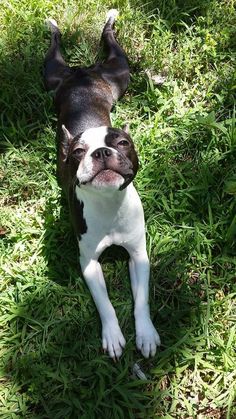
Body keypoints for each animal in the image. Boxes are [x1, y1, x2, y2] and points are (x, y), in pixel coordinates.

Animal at [43, 9, 160, 360]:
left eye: (122, 143)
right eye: (78, 152)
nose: (102, 152)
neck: (108, 204)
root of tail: (82, 73)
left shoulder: (139, 255)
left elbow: (142, 299)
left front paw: (145, 334)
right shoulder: (89, 263)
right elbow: (105, 304)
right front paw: (113, 336)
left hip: (120, 71)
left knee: (109, 38)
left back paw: (110, 17)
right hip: (51, 74)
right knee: (55, 47)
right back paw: (53, 26)